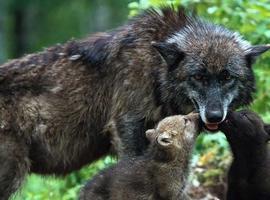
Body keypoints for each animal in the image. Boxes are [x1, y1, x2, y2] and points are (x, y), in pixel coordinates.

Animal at [0, 7, 268, 199]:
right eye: (199, 77)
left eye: (227, 77)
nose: (214, 116)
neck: (154, 68)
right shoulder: (127, 127)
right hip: (12, 173)